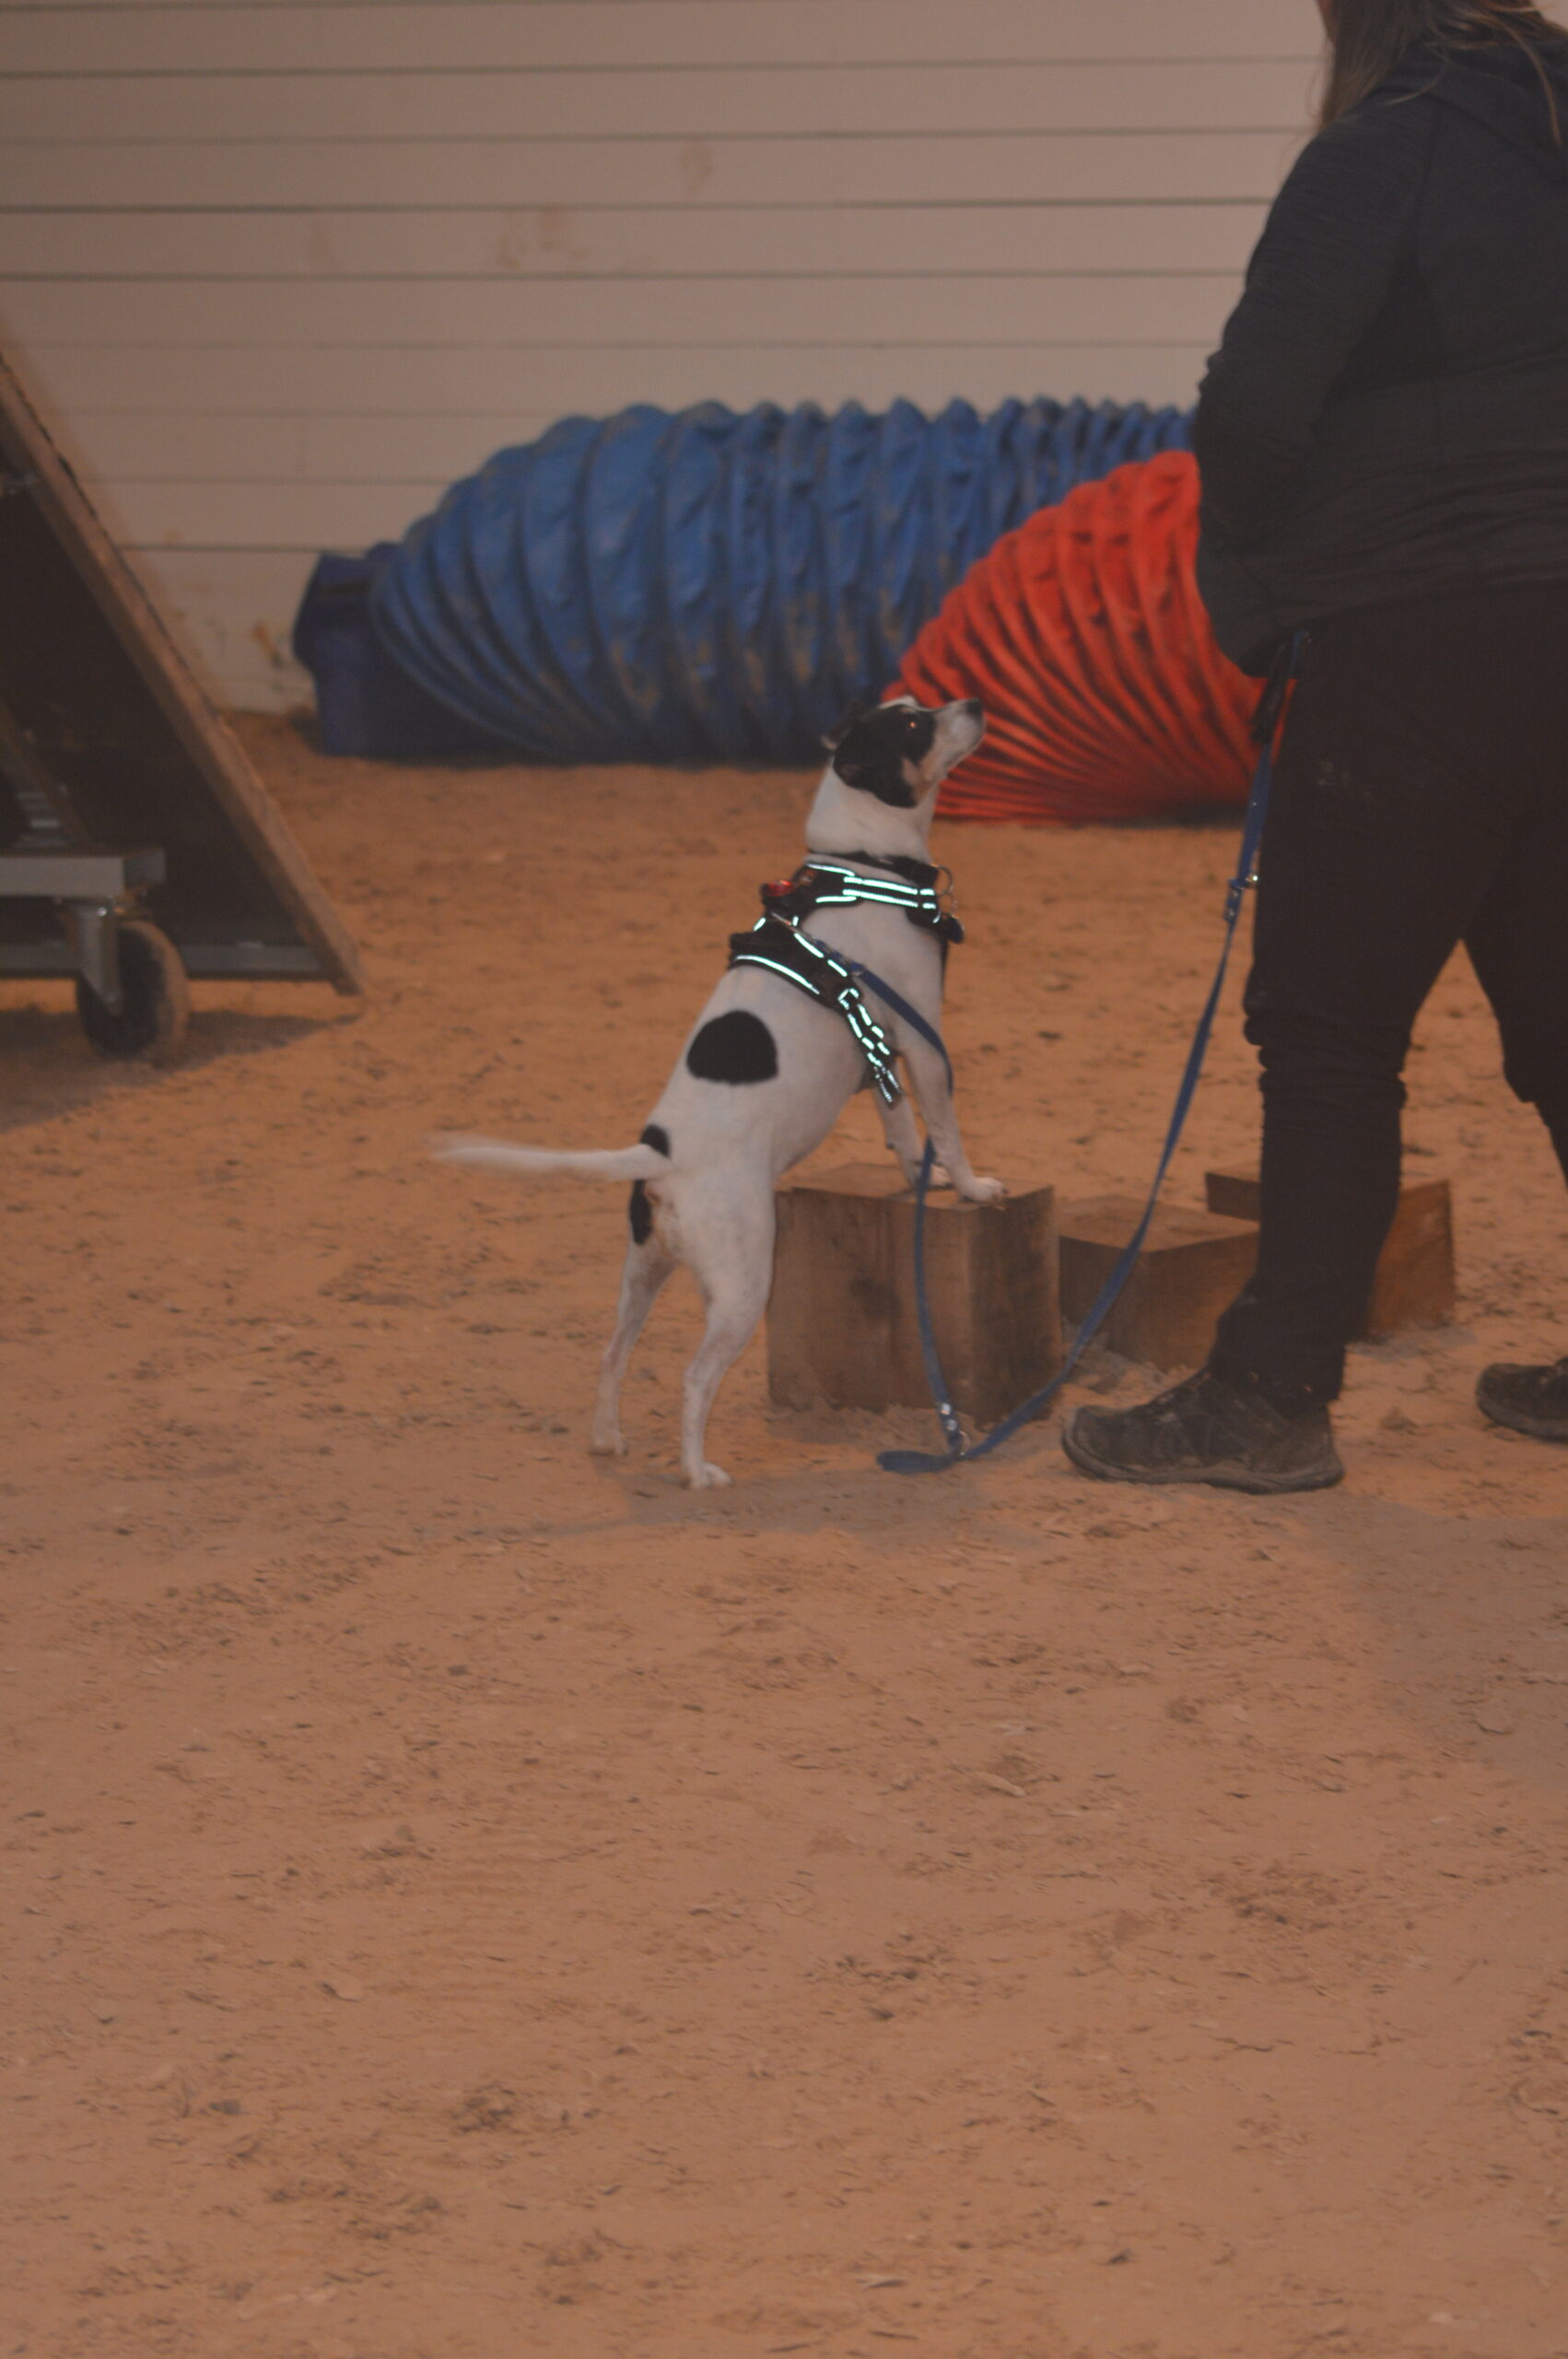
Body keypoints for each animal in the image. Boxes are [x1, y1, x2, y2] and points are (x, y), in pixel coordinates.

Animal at [436, 688, 1004, 1481]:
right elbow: (944, 1131)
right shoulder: (924, 1042)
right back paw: (698, 1471)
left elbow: (899, 1130)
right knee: (694, 1379)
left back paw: (608, 1440)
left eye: (918, 705)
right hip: (742, 1287)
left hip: (644, 1272)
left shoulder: (881, 1052)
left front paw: (917, 1180)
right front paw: (972, 1188)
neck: (861, 864)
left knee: (612, 1353)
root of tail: (660, 1155)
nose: (976, 701)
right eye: (918, 725)